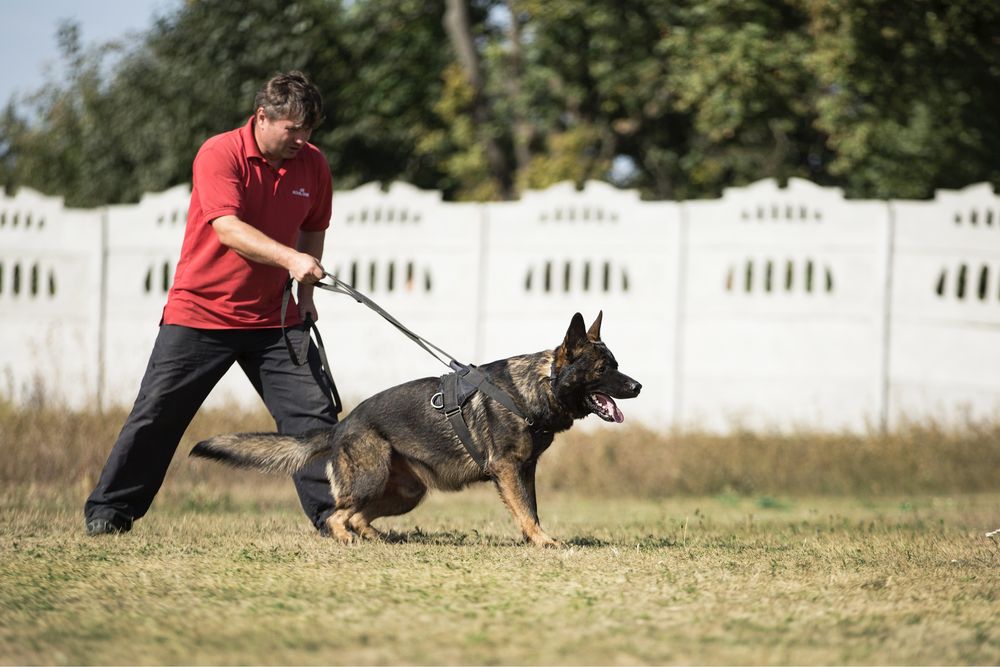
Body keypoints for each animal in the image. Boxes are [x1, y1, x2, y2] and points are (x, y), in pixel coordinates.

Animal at [189, 314, 640, 548]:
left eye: (617, 365)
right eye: (604, 369)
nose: (638, 387)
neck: (538, 385)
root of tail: (340, 427)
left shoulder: (524, 470)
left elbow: (531, 508)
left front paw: (537, 539)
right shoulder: (510, 470)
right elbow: (526, 511)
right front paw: (543, 542)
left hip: (406, 492)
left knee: (356, 515)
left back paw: (375, 536)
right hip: (372, 480)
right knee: (337, 515)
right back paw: (348, 539)